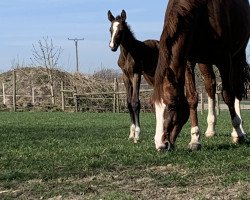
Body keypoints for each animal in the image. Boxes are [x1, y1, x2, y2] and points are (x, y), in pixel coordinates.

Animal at [107, 9, 158, 142]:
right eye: (110, 29)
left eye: (121, 30)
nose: (112, 46)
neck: (127, 54)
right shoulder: (125, 76)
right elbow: (129, 103)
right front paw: (131, 133)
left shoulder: (136, 74)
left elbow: (135, 102)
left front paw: (137, 135)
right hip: (151, 77)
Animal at [153, 0, 249, 150]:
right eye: (153, 106)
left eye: (172, 105)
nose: (160, 144)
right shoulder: (188, 61)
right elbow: (192, 98)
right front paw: (195, 139)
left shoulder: (225, 60)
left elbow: (228, 95)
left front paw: (237, 133)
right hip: (205, 62)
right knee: (210, 86)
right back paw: (211, 129)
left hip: (238, 56)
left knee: (237, 89)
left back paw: (240, 130)